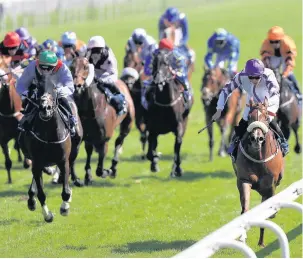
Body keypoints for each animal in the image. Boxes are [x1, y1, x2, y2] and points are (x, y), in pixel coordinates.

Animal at [18, 75, 79, 223]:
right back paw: (31, 199)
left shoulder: (63, 161)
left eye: (55, 88)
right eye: (38, 88)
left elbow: (65, 190)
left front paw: (64, 208)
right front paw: (47, 215)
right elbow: (41, 193)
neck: (49, 135)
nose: (45, 108)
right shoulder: (37, 162)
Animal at [144, 49, 192, 177]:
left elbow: (177, 146)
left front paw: (177, 169)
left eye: (165, 64)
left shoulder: (179, 126)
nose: (158, 81)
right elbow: (150, 151)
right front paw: (154, 162)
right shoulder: (152, 129)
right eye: (154, 63)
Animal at [233, 98, 284, 248]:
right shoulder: (244, 180)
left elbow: (267, 211)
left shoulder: (270, 184)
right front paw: (242, 237)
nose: (257, 138)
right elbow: (245, 208)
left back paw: (261, 241)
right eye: (250, 117)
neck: (258, 158)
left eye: (266, 116)